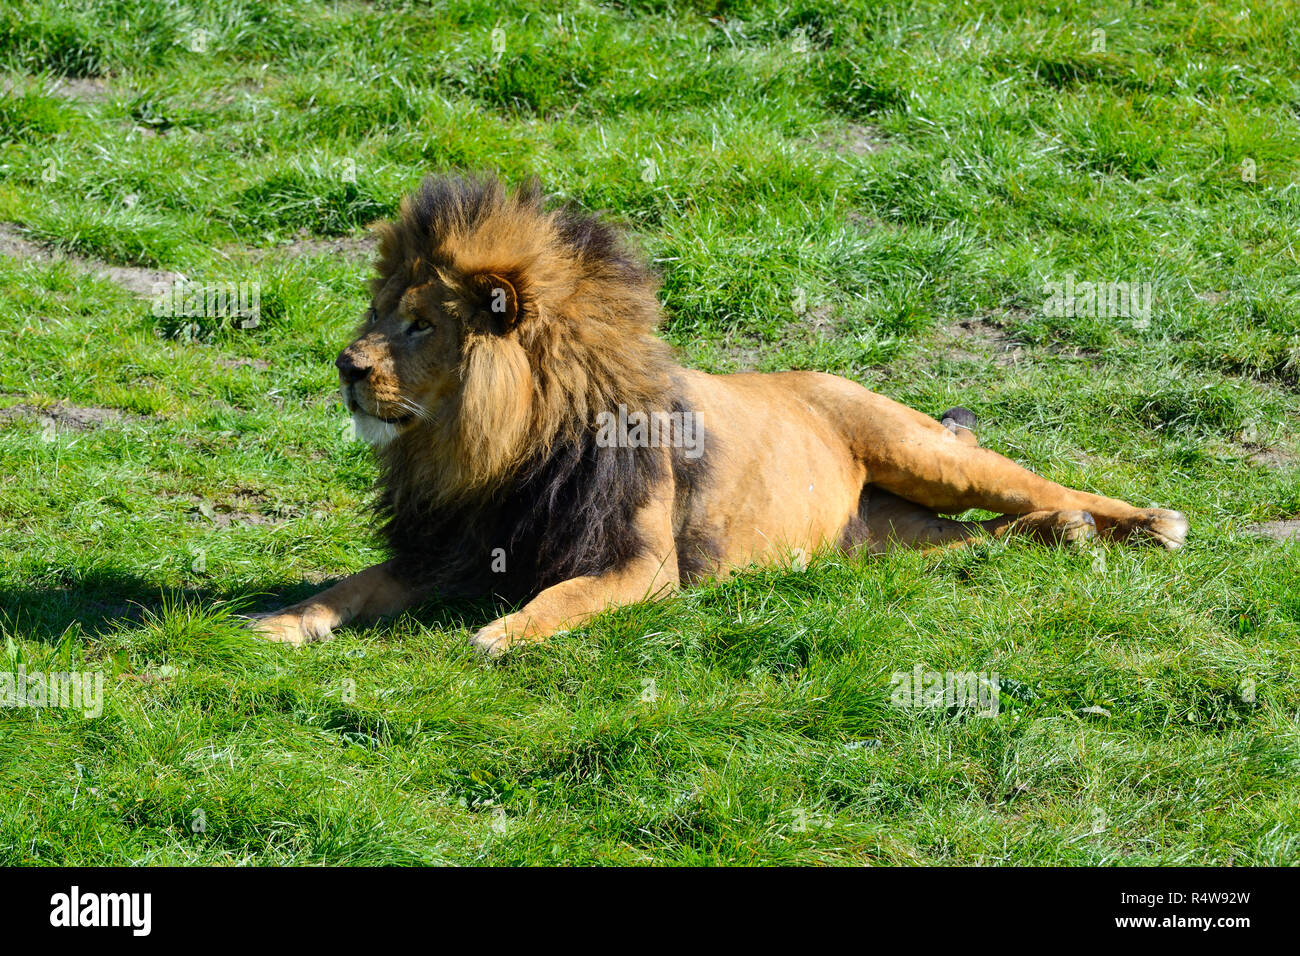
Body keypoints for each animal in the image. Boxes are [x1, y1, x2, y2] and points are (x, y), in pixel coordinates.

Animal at [250, 175, 1188, 656]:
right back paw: (1062, 536)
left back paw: (1145, 523)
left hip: (921, 450)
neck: (486, 452)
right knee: (985, 537)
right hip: (882, 545)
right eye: (377, 313)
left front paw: (503, 632)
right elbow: (353, 585)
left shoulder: (640, 566)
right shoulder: (439, 553)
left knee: (1039, 486)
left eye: (418, 325)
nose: (346, 368)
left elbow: (564, 596)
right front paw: (279, 621)